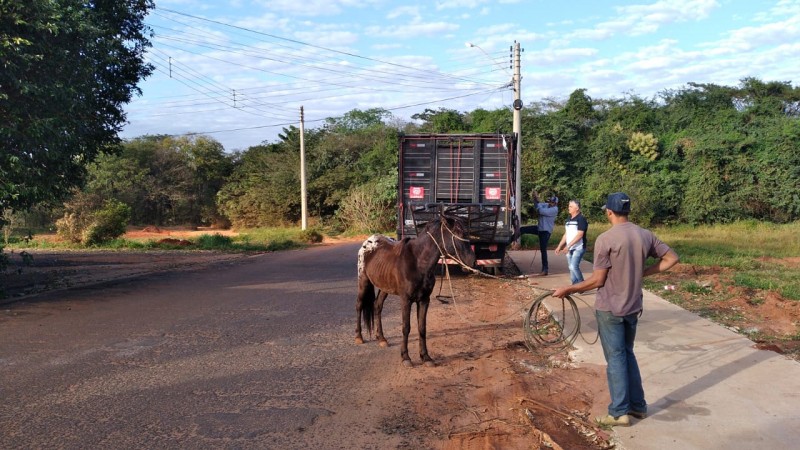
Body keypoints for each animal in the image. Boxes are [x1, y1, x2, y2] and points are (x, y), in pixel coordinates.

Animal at [354, 216, 476, 368]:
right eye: (458, 233)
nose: (473, 261)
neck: (418, 263)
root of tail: (369, 241)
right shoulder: (406, 300)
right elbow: (406, 327)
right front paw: (406, 357)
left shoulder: (424, 300)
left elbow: (422, 328)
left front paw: (426, 357)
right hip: (363, 281)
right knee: (359, 305)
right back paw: (358, 337)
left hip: (384, 287)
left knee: (377, 306)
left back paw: (381, 338)